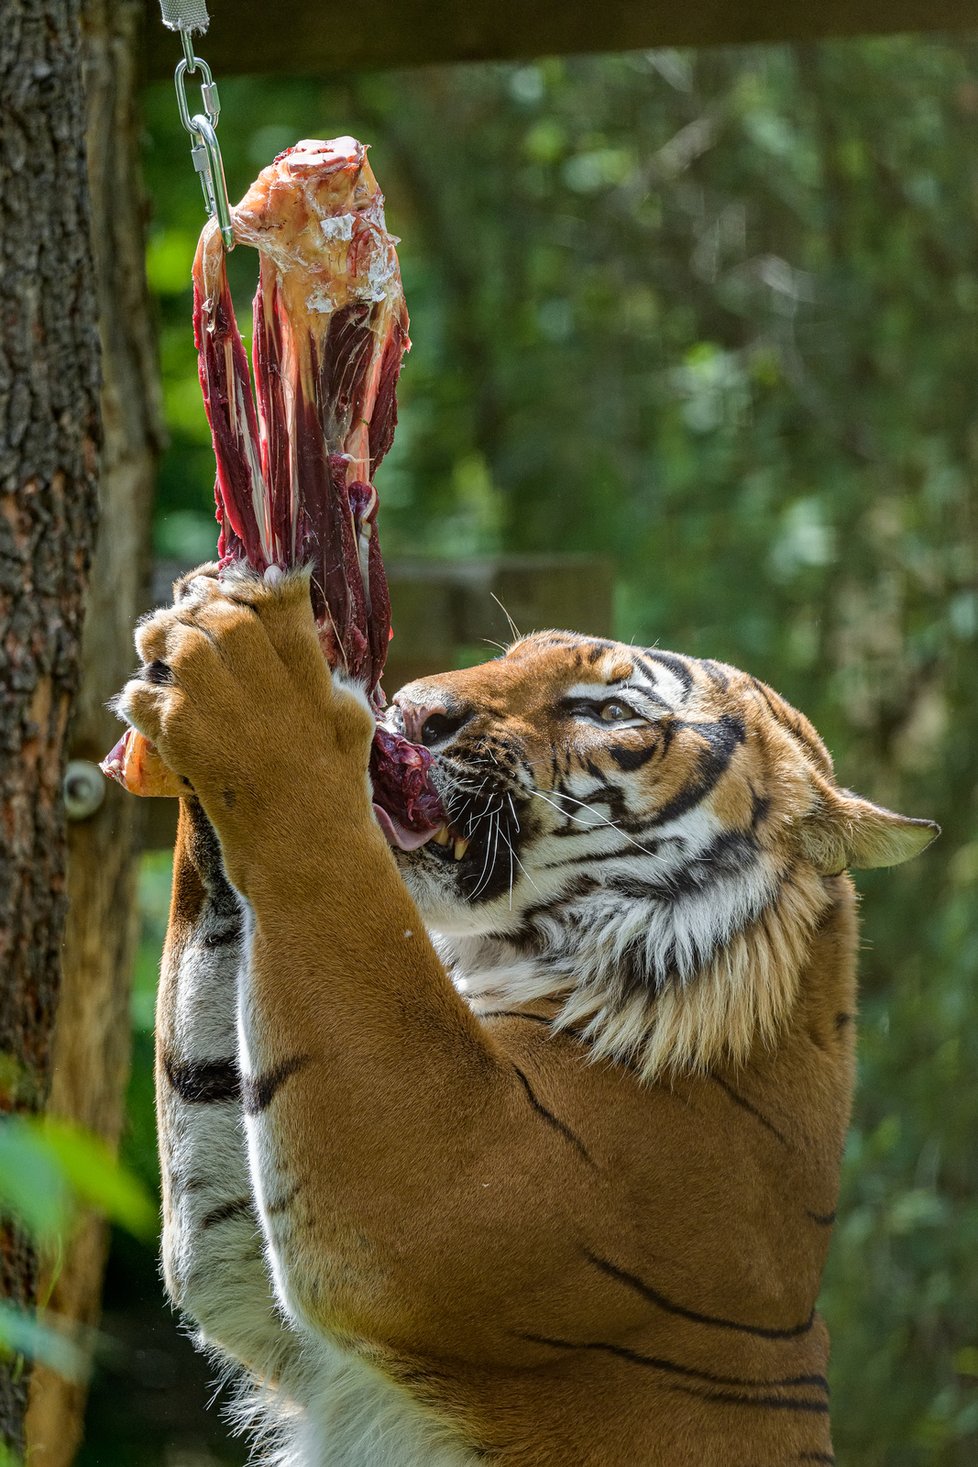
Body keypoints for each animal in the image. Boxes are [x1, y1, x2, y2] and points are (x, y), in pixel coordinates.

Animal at [118, 560, 938, 1467]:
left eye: (610, 712)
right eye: (509, 656)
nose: (414, 710)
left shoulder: (446, 1187)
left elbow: (330, 864)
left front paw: (256, 672)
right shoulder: (272, 1304)